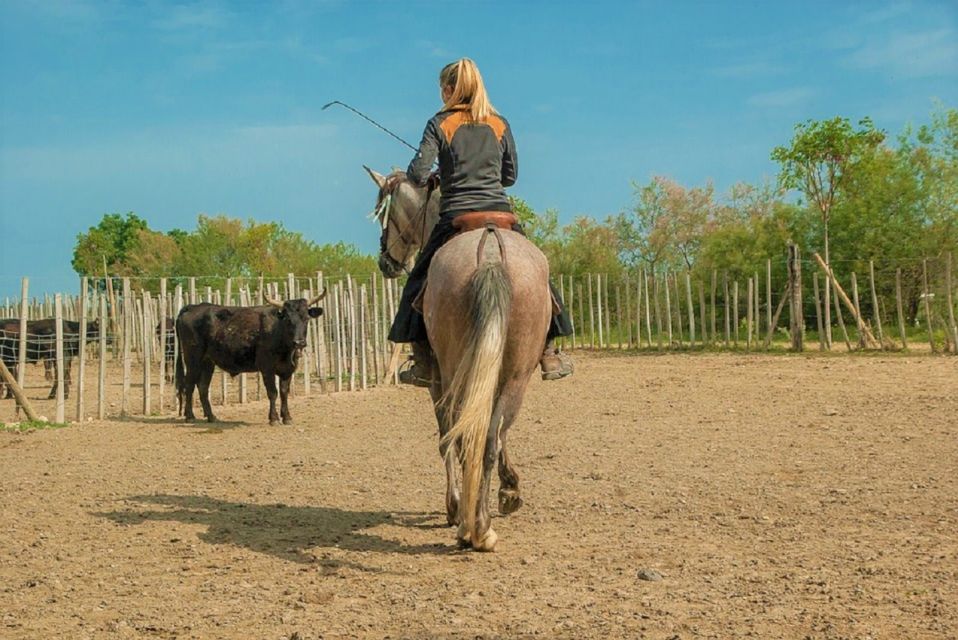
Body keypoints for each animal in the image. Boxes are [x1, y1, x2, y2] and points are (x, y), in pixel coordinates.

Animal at [172, 294, 322, 424]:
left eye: (306, 319)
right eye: (288, 320)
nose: (299, 342)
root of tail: (192, 307)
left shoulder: (287, 370)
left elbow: (284, 392)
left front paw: (287, 417)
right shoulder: (267, 368)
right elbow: (273, 392)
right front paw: (273, 418)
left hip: (208, 362)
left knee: (203, 386)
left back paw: (211, 416)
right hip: (193, 359)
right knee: (189, 385)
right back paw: (190, 416)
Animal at [364, 166, 552, 552]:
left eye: (382, 213)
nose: (386, 262)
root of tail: (490, 256)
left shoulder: (437, 383)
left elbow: (446, 437)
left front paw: (454, 506)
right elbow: (489, 434)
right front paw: (508, 490)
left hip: (457, 374)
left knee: (470, 437)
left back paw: (470, 526)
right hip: (515, 375)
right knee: (490, 437)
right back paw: (480, 526)